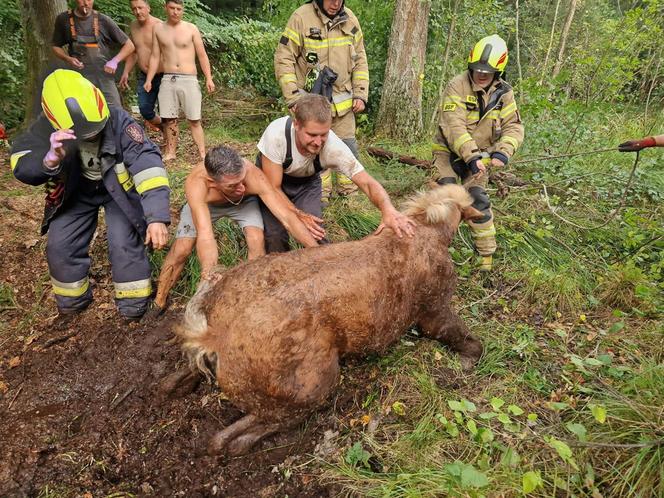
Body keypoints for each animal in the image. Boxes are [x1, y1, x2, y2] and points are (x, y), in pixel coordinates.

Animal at [178, 184, 488, 456]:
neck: (433, 232)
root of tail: (215, 337)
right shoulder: (434, 312)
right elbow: (470, 341)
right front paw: (466, 364)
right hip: (313, 386)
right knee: (243, 434)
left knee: (208, 412)